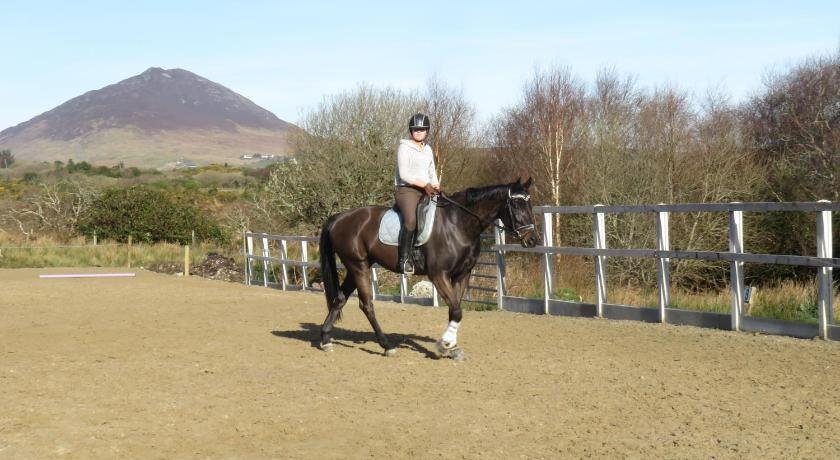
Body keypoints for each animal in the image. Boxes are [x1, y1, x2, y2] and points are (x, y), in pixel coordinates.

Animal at [318, 176, 540, 360]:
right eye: (516, 204)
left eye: (529, 203)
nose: (533, 240)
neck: (458, 224)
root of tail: (339, 217)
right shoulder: (439, 275)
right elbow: (457, 311)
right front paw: (444, 345)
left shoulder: (462, 275)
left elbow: (454, 310)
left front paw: (452, 346)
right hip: (359, 266)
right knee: (366, 305)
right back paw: (387, 345)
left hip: (355, 267)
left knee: (339, 299)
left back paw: (325, 340)